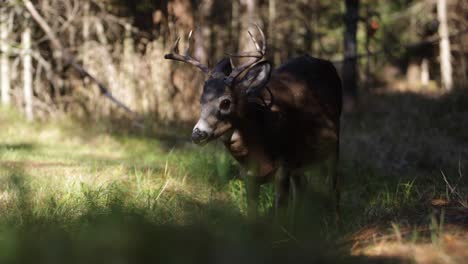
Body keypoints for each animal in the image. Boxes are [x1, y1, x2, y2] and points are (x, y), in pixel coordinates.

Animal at [166, 25, 342, 225]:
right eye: (201, 101)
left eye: (225, 102)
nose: (198, 134)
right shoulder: (249, 176)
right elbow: (252, 215)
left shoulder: (284, 167)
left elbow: (280, 214)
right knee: (303, 187)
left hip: (333, 144)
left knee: (334, 186)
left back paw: (337, 223)